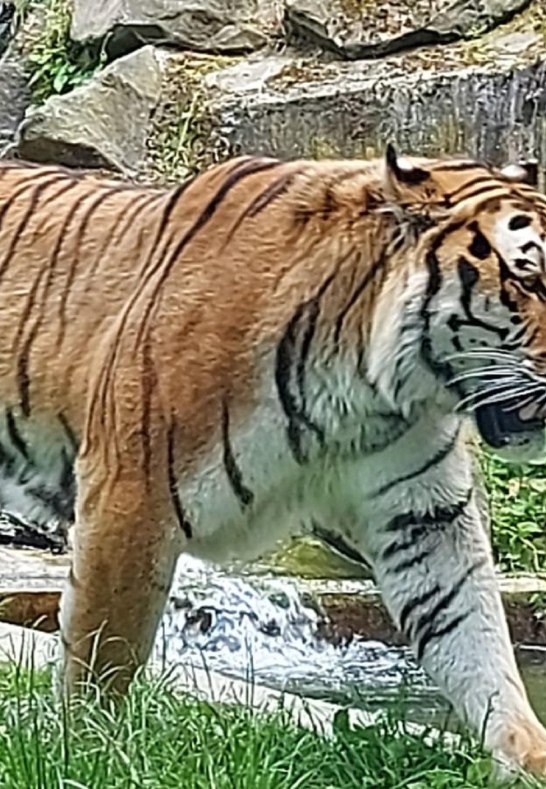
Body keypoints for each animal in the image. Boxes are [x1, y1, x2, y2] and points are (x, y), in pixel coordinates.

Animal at [0, 147, 544, 776]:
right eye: (529, 279)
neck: (368, 388)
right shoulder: (130, 496)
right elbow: (104, 651)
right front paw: (88, 755)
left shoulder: (425, 519)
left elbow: (474, 636)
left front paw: (527, 757)